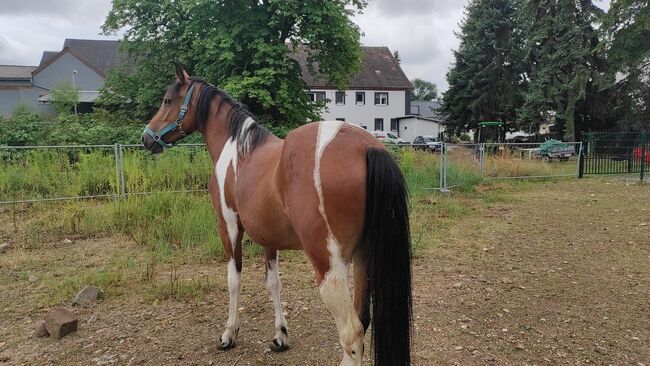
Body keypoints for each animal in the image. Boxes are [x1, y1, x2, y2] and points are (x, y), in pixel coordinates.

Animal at [143, 64, 410, 366]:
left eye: (167, 100)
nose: (146, 137)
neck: (238, 149)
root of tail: (367, 147)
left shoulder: (229, 227)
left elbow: (233, 280)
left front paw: (229, 334)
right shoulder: (268, 238)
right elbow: (274, 284)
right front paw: (280, 336)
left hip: (329, 266)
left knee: (351, 333)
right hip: (364, 258)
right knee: (363, 321)